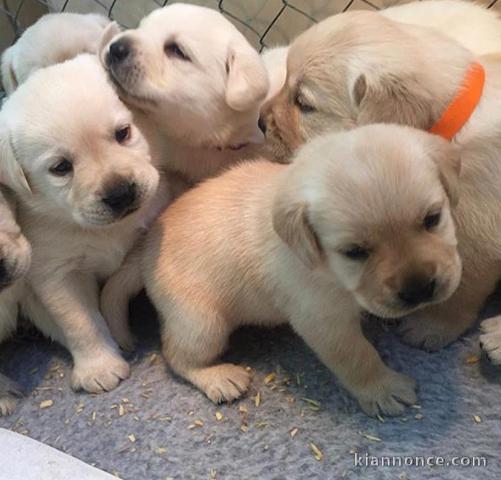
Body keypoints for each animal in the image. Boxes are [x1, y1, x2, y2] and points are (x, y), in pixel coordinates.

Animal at [0, 55, 169, 394]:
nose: (120, 194)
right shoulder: (57, 273)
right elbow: (80, 322)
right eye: (60, 167)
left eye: (123, 133)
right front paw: (99, 367)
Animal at [101, 124, 460, 416]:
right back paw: (219, 377)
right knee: (177, 356)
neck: (327, 270)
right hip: (202, 320)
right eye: (354, 252)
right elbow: (357, 356)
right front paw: (383, 389)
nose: (420, 289)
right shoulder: (321, 319)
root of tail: (145, 249)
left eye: (432, 219)